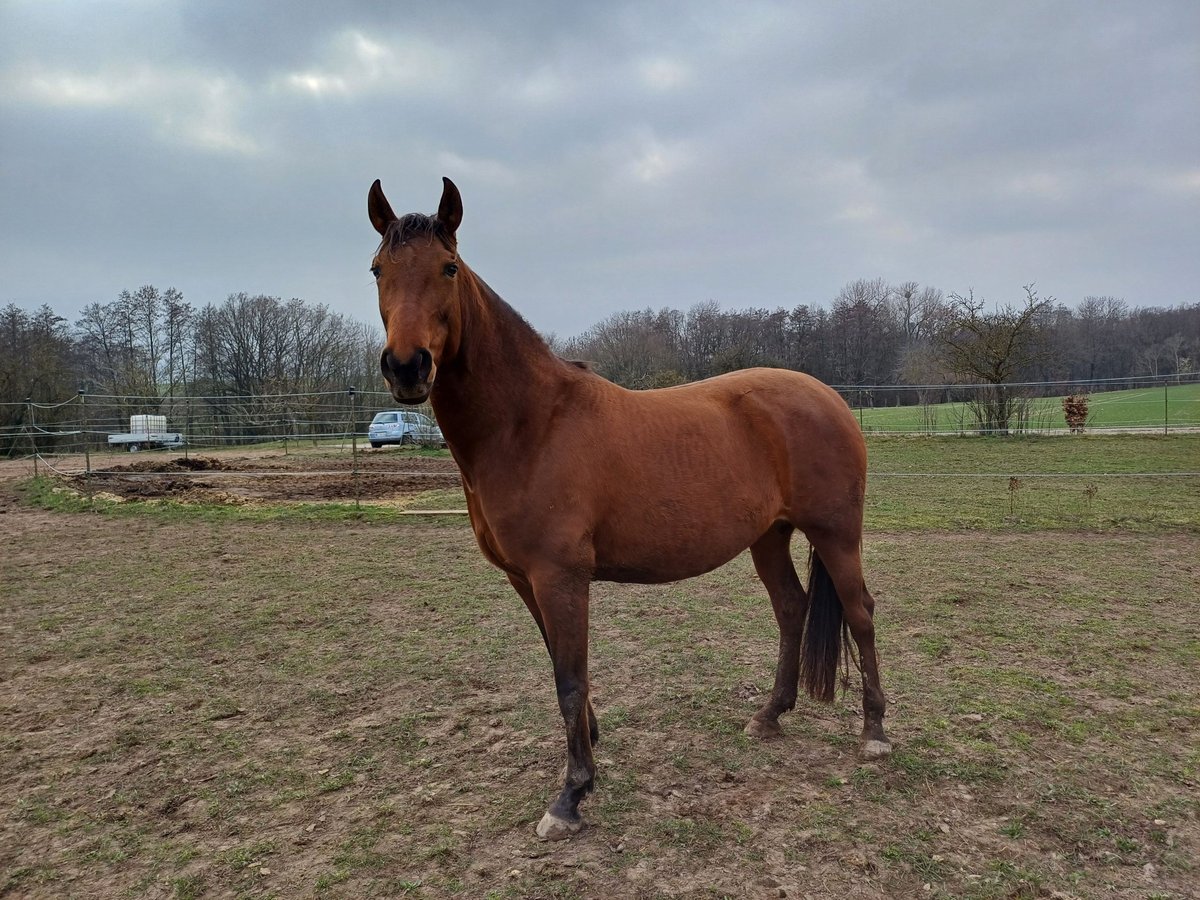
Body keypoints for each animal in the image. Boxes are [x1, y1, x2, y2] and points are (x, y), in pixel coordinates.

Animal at [367, 177, 892, 844]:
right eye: (377, 269)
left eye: (448, 268)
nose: (407, 367)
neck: (530, 423)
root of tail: (831, 398)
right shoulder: (526, 579)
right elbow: (563, 669)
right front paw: (588, 752)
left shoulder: (560, 577)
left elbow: (568, 679)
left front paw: (570, 796)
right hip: (769, 536)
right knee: (792, 609)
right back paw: (769, 716)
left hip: (835, 534)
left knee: (860, 612)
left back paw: (874, 734)